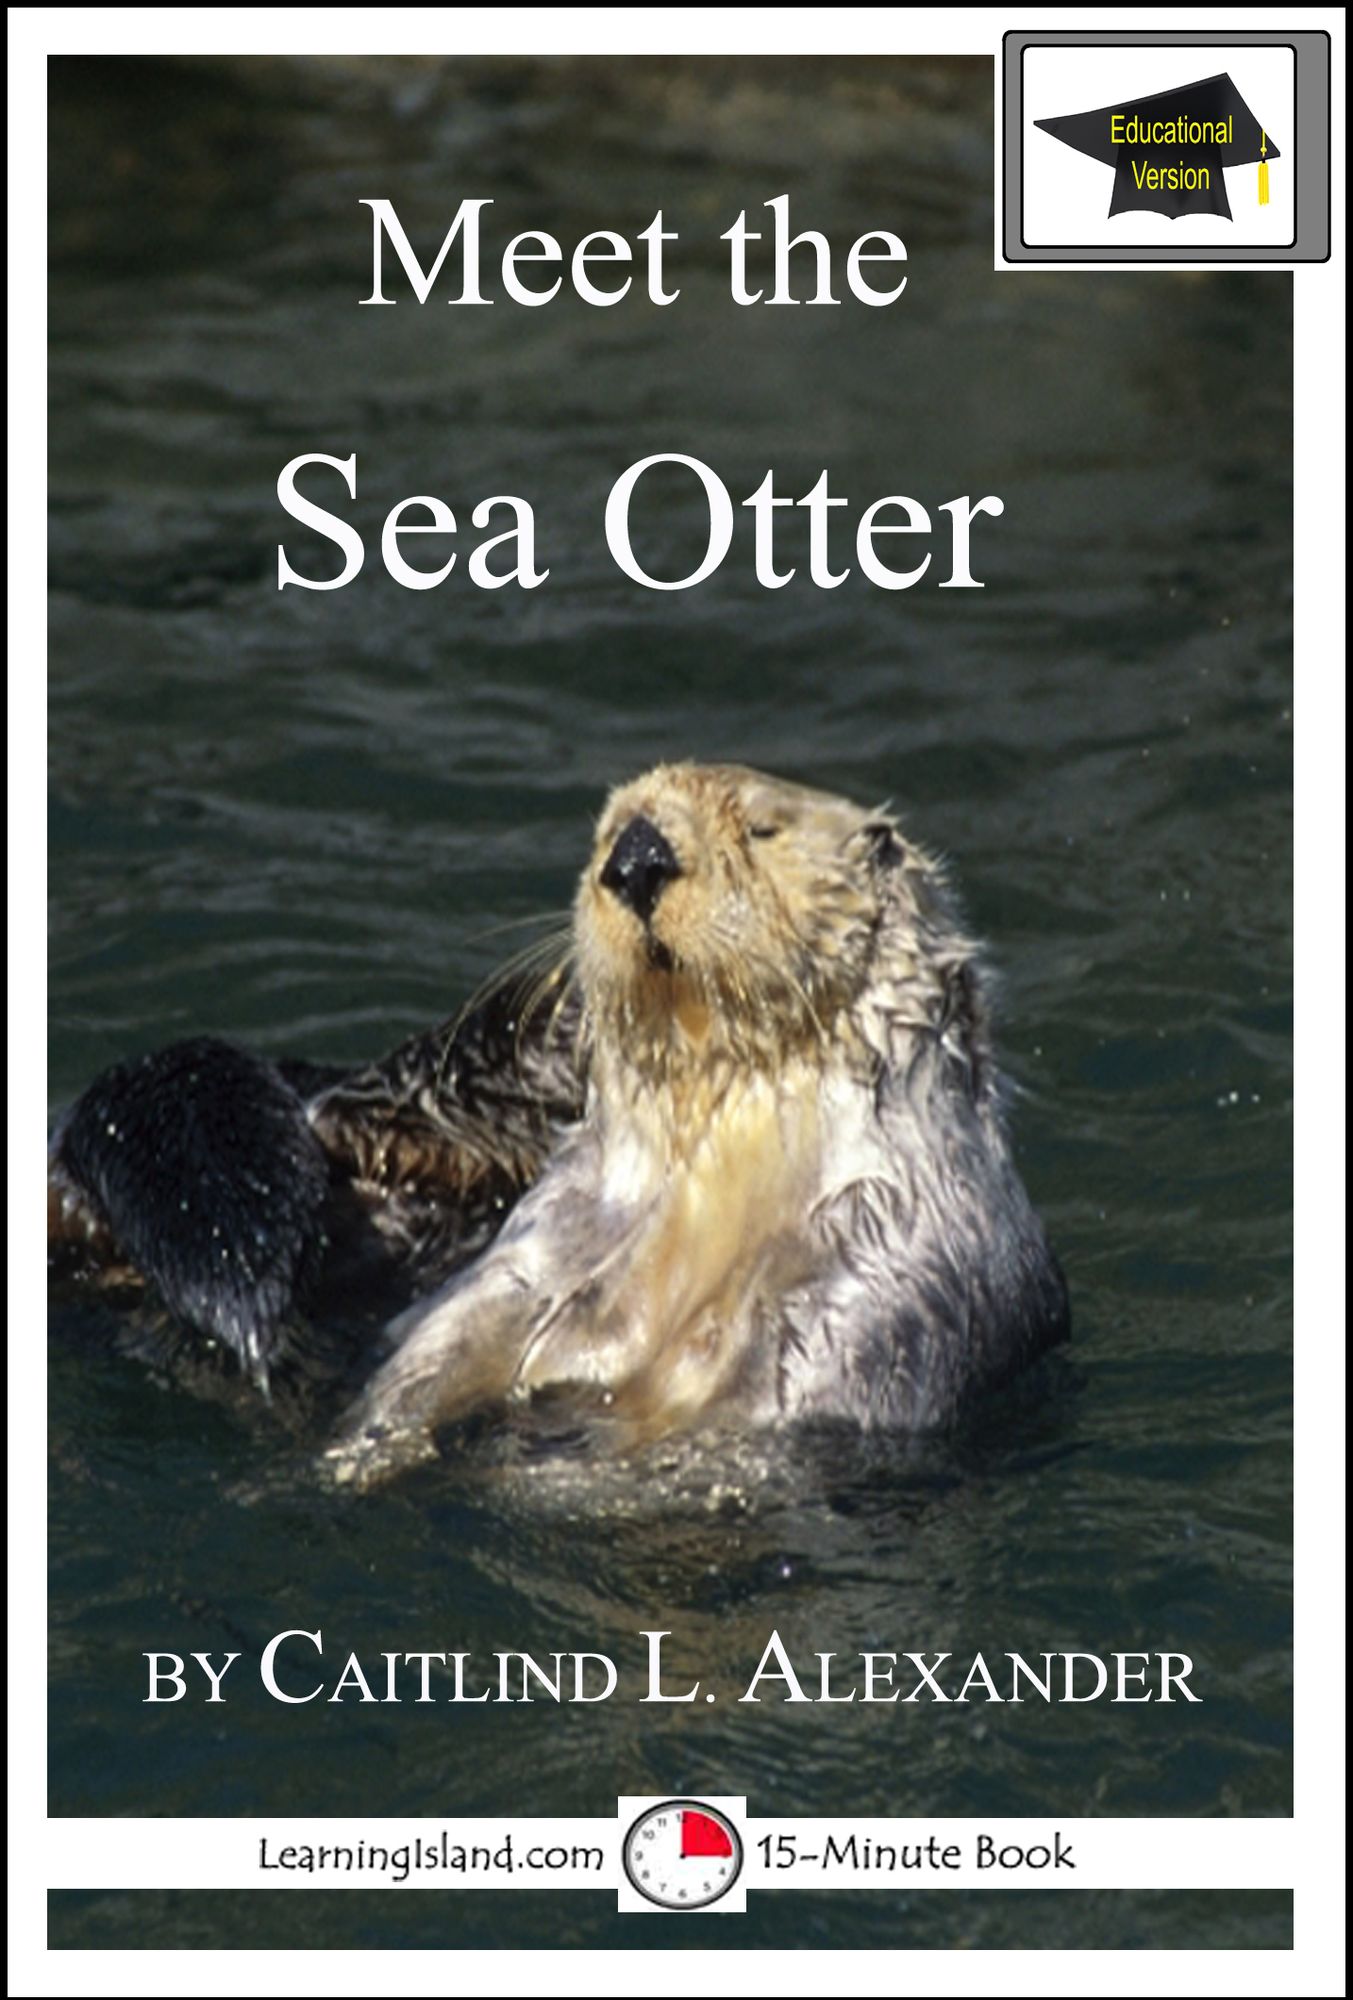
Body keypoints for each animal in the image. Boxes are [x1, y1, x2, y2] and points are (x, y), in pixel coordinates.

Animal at [48, 762, 1068, 1472]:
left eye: (763, 828)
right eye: (607, 829)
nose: (638, 856)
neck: (714, 1185)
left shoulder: (887, 1278)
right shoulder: (544, 1239)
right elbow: (451, 1336)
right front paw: (366, 1447)